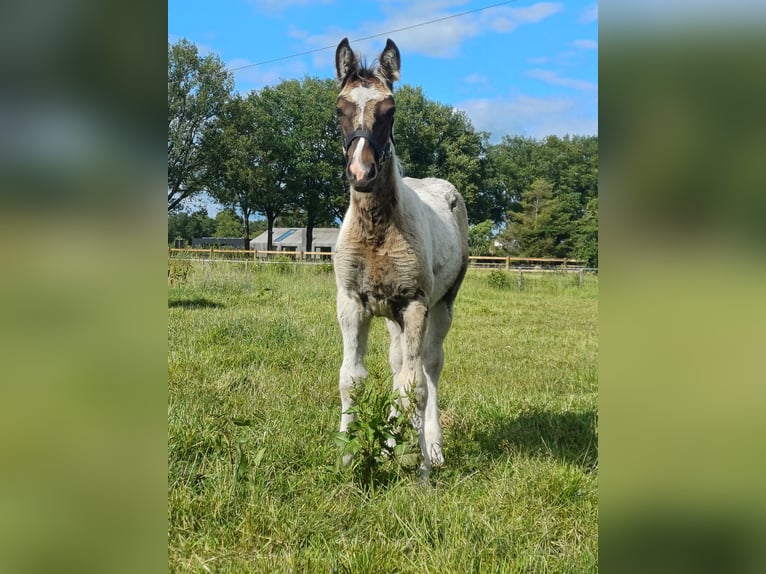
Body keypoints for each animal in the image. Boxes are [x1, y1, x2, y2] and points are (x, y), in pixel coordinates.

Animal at [334, 37, 472, 482]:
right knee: (398, 367)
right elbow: (352, 379)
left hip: (440, 306)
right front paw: (347, 459)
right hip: (391, 316)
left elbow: (416, 387)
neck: (377, 230)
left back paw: (433, 448)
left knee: (428, 368)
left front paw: (421, 470)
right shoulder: (351, 303)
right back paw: (391, 445)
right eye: (340, 109)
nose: (361, 173)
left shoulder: (414, 305)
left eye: (389, 109)